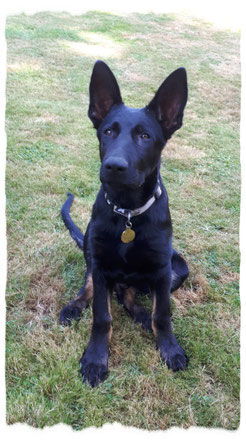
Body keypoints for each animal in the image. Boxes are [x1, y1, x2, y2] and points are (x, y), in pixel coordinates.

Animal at [59, 60, 188, 386]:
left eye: (145, 137)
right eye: (107, 131)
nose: (114, 166)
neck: (127, 212)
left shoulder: (162, 268)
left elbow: (162, 314)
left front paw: (169, 348)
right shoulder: (102, 265)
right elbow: (101, 316)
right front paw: (95, 358)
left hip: (178, 267)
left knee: (129, 292)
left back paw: (140, 313)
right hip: (92, 253)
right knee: (93, 286)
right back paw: (75, 306)